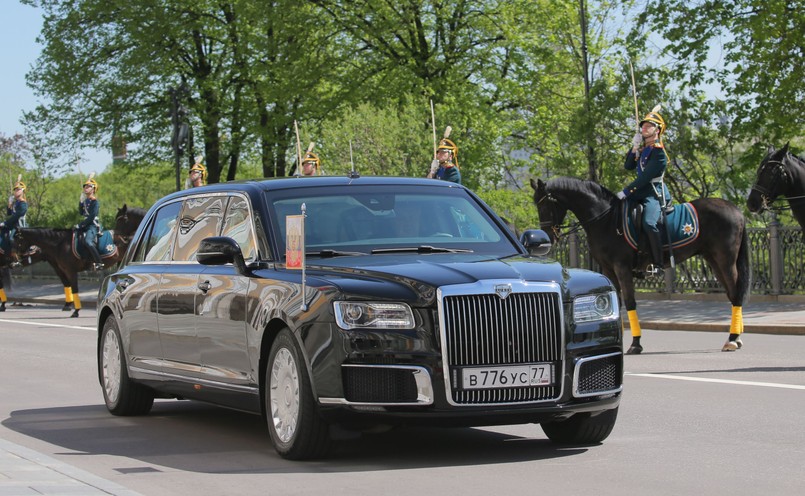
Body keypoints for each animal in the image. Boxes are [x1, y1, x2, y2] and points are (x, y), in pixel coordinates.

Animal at [15, 204, 144, 318]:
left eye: (17, 239)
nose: (16, 258)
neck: (60, 243)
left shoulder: (70, 271)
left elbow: (74, 288)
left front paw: (75, 311)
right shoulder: (62, 270)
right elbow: (68, 286)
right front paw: (69, 306)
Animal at [532, 176, 752, 354]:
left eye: (545, 205)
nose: (547, 237)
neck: (606, 220)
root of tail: (736, 210)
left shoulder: (621, 267)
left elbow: (629, 302)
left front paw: (635, 343)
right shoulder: (609, 270)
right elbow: (617, 303)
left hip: (725, 260)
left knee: (736, 293)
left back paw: (733, 338)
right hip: (713, 260)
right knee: (732, 293)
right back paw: (737, 336)